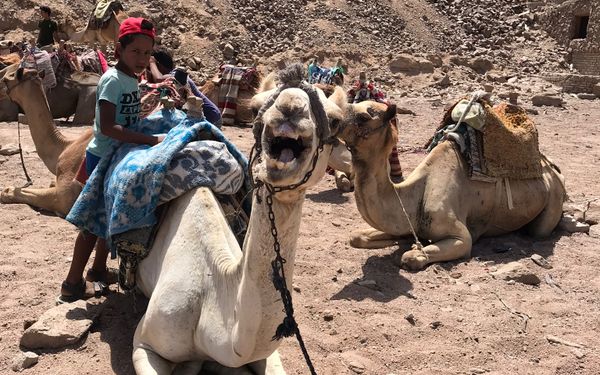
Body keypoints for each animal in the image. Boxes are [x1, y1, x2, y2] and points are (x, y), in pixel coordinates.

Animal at [338, 100, 568, 270]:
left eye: (363, 117)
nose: (333, 122)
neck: (414, 194)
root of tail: (551, 168)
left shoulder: (461, 237)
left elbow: (410, 257)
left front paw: (411, 250)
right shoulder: (406, 223)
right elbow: (355, 237)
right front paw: (400, 240)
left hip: (553, 199)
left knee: (540, 230)